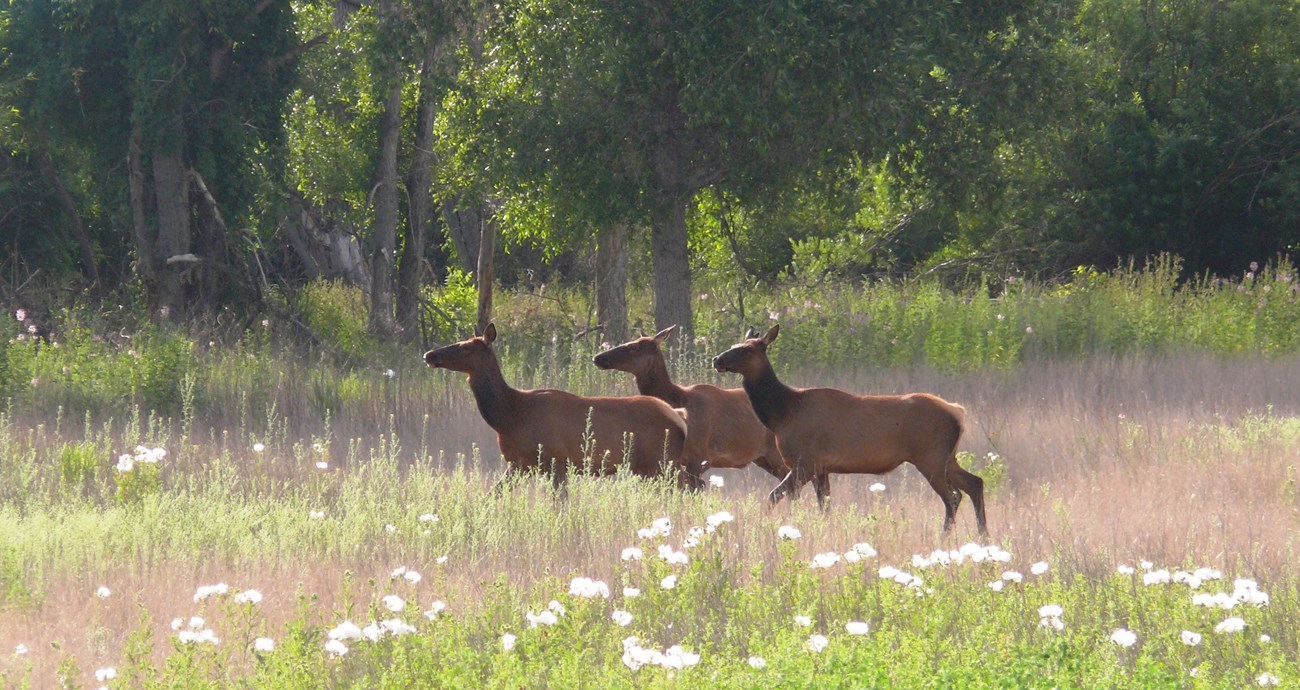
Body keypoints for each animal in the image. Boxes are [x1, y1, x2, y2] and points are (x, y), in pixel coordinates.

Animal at [423, 324, 691, 491]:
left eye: (466, 347)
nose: (429, 354)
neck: (510, 416)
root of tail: (679, 418)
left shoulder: (557, 460)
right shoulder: (517, 464)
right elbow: (492, 496)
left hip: (661, 460)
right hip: (647, 466)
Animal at [592, 326, 785, 488]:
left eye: (633, 347)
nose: (598, 357)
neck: (678, 400)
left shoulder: (699, 457)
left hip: (776, 453)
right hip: (762, 458)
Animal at [712, 326, 982, 537]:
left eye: (749, 349)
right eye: (733, 344)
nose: (717, 359)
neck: (781, 414)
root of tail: (958, 411)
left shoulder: (805, 462)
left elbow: (774, 496)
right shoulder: (821, 468)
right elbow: (824, 507)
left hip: (930, 457)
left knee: (953, 497)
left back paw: (945, 537)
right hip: (947, 457)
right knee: (975, 483)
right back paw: (983, 535)